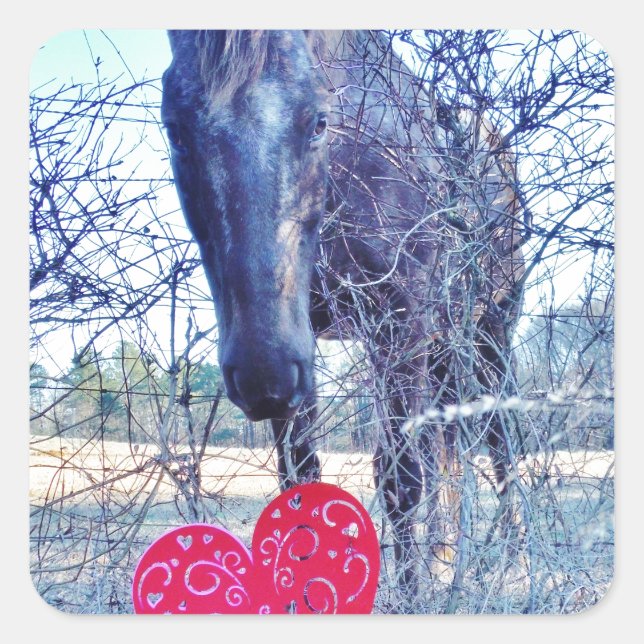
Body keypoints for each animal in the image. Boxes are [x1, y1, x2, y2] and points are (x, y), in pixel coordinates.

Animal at [161, 29, 526, 608]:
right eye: (174, 129)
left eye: (318, 121)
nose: (260, 372)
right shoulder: (300, 349)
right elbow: (299, 482)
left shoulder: (399, 324)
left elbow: (401, 480)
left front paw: (412, 601)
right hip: (443, 351)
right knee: (449, 455)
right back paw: (447, 560)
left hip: (489, 336)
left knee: (502, 445)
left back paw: (521, 570)